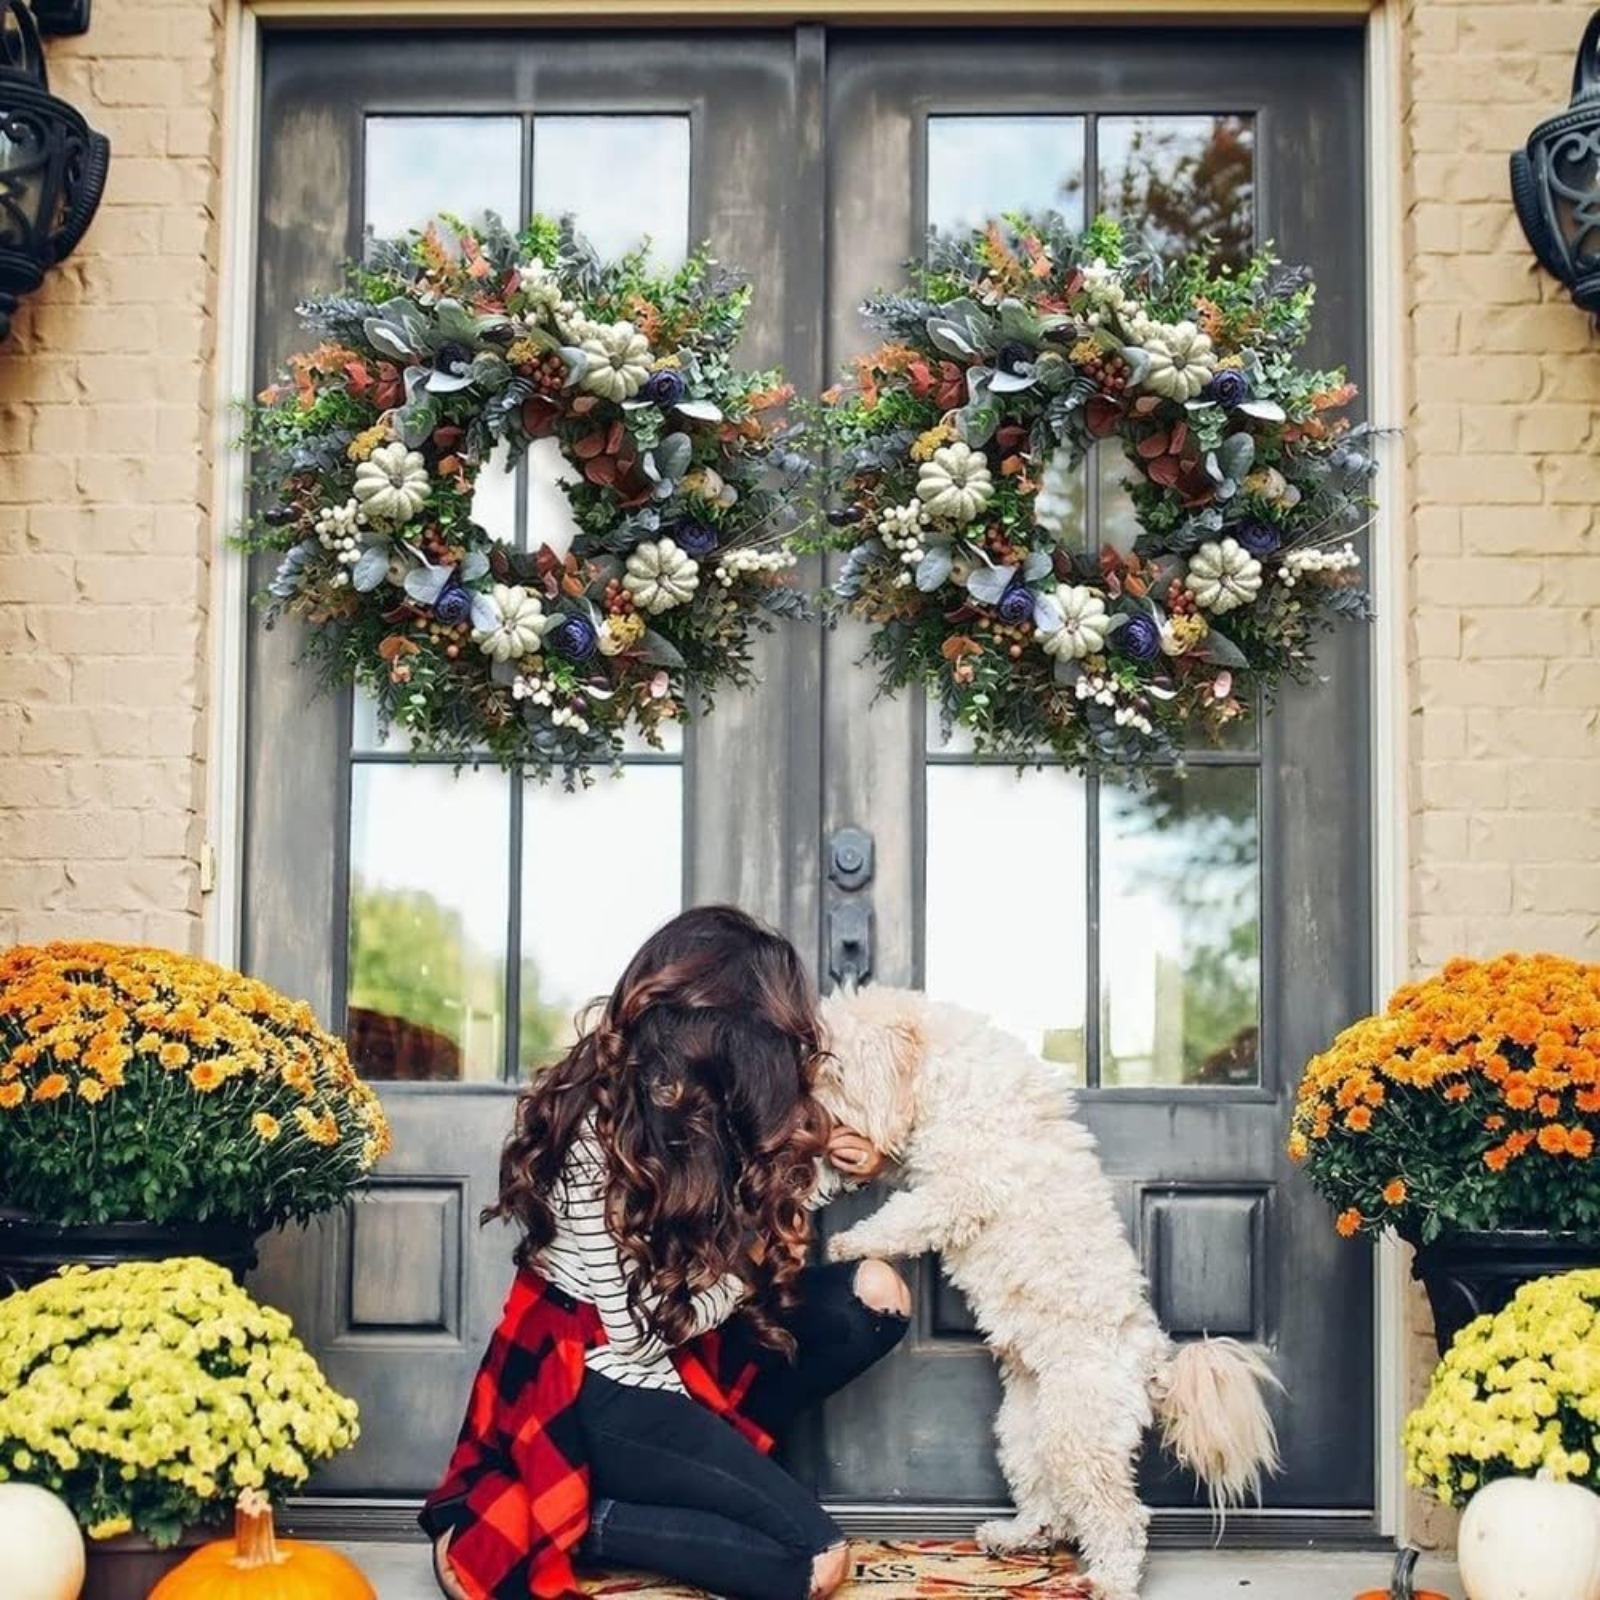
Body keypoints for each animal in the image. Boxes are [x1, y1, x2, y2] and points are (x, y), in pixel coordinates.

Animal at [819, 985, 1280, 1600]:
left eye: (833, 1068)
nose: (808, 1110)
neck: (951, 1077)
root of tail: (1151, 1362)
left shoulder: (959, 1190)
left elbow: (903, 1217)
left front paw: (848, 1242)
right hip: (1023, 1432)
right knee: (1050, 1505)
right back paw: (1018, 1538)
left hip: (1078, 1434)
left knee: (1119, 1516)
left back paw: (1107, 1580)